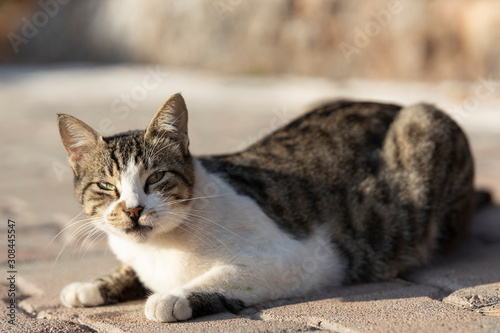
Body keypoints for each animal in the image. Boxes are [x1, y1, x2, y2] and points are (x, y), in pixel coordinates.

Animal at [56, 92, 474, 320]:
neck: (160, 249)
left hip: (424, 124)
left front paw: (173, 298)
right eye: (106, 186)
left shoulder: (301, 259)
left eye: (156, 178)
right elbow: (128, 270)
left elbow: (223, 277)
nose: (133, 210)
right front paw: (91, 287)